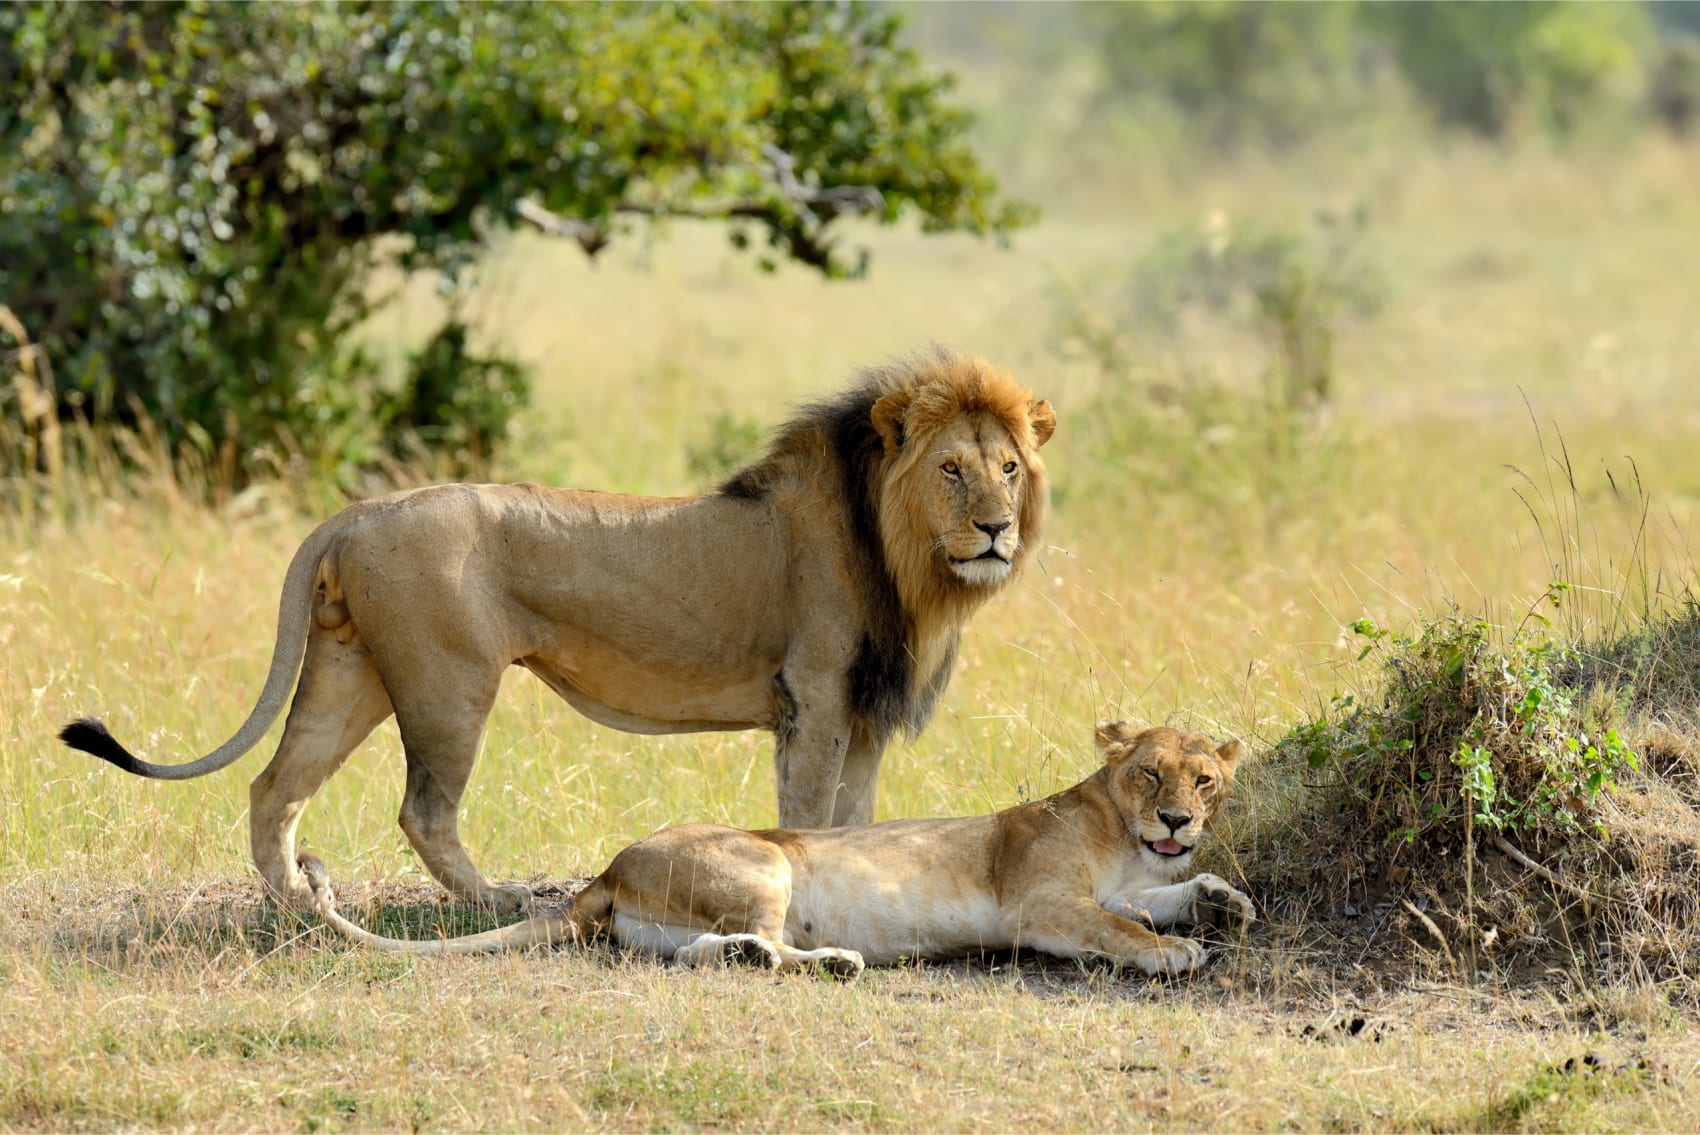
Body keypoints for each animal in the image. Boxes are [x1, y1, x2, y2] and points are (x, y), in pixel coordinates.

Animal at [59, 346, 1054, 910]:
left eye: (1009, 467)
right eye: (953, 470)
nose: (995, 529)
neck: (907, 563)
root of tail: (356, 512)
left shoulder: (866, 713)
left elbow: (858, 818)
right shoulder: (811, 698)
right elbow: (809, 816)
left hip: (350, 671)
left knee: (274, 788)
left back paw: (297, 907)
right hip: (448, 682)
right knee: (422, 808)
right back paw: (492, 902)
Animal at [302, 727, 1251, 978]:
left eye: (1205, 779)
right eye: (1149, 771)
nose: (1176, 819)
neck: (1123, 833)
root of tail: (607, 869)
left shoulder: (1129, 880)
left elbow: (1158, 897)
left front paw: (1221, 899)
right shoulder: (1039, 903)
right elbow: (1121, 928)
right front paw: (1179, 950)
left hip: (672, 920)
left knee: (696, 950)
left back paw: (758, 957)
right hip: (768, 863)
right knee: (770, 941)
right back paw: (833, 961)